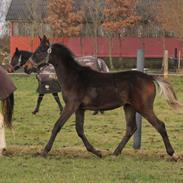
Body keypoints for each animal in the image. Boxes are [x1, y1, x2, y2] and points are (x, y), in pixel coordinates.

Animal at [24, 35, 180, 159]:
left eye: (39, 51)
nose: (26, 67)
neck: (73, 77)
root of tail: (149, 77)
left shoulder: (71, 105)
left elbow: (57, 125)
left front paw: (44, 151)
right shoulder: (80, 108)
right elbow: (79, 130)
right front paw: (97, 152)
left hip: (143, 107)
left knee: (159, 125)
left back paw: (172, 153)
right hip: (129, 107)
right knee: (131, 128)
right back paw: (115, 153)